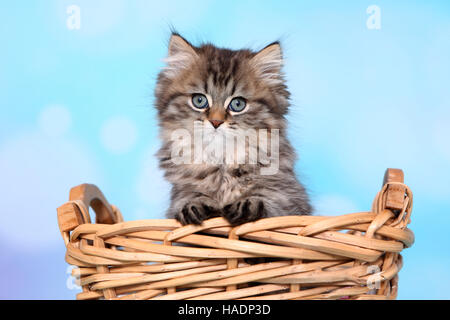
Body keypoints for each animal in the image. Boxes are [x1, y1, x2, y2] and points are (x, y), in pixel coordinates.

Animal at [153, 33, 312, 225]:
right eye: (199, 101)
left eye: (237, 104)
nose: (215, 122)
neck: (222, 163)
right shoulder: (179, 192)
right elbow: (188, 197)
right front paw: (194, 205)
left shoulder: (291, 197)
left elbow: (271, 201)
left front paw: (247, 204)